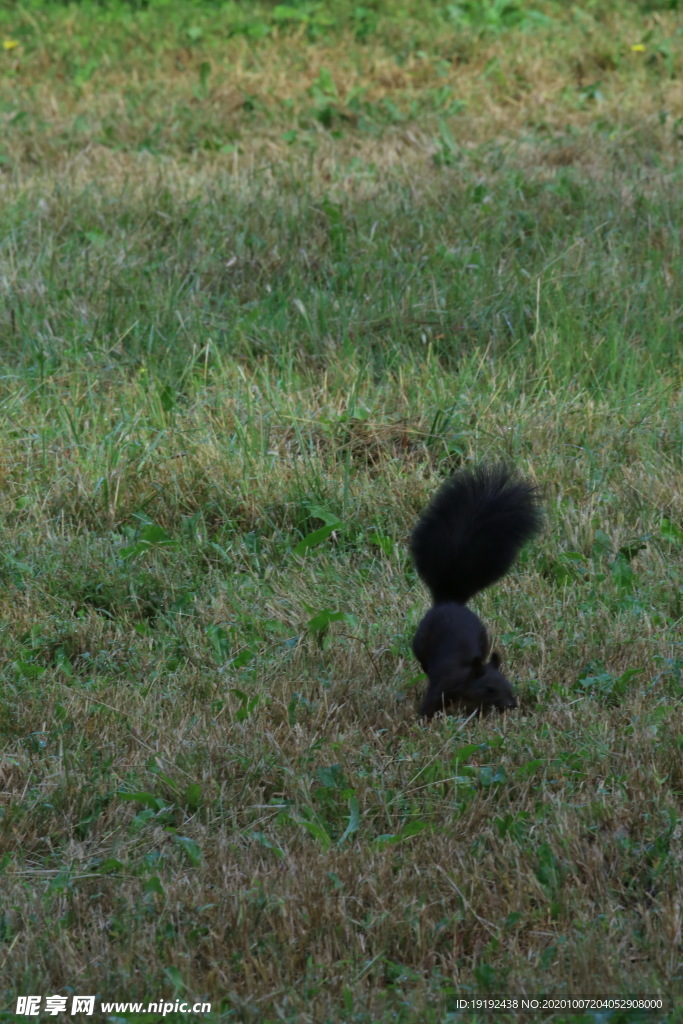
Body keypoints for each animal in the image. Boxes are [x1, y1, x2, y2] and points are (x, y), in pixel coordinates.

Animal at [409, 466, 540, 720]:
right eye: (489, 688)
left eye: (509, 685)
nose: (511, 705)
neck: (464, 680)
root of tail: (450, 601)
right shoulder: (442, 687)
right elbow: (430, 704)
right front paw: (421, 720)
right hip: (421, 643)